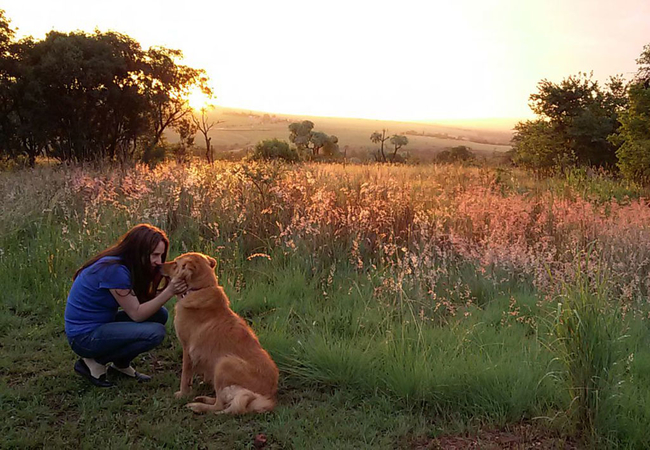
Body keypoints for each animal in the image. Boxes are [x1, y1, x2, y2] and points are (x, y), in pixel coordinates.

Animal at [161, 251, 278, 414]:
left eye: (175, 263)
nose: (158, 265)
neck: (200, 288)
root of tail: (268, 397)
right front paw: (204, 382)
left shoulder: (187, 349)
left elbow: (185, 376)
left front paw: (182, 394)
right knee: (222, 399)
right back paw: (204, 398)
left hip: (224, 363)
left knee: (220, 406)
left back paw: (198, 406)